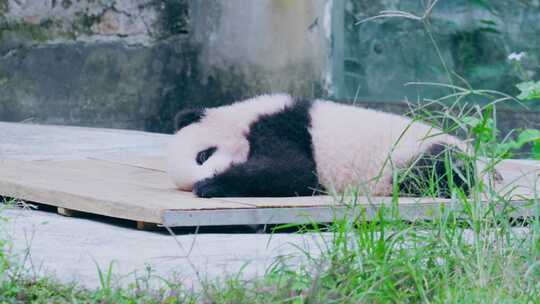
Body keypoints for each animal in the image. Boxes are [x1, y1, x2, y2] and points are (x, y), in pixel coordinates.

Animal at [168, 95, 472, 200]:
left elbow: (293, 171)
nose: (209, 174)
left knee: (436, 169)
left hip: (414, 153)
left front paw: (212, 184)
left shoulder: (286, 125)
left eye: (203, 155)